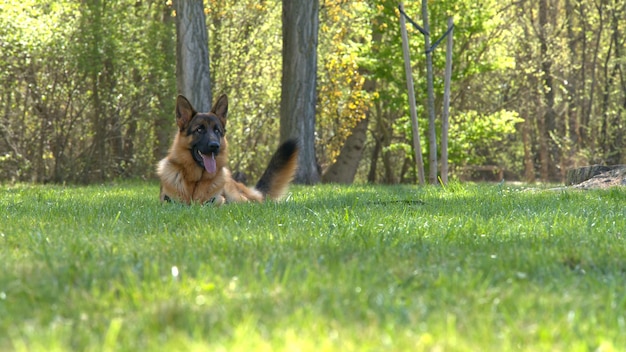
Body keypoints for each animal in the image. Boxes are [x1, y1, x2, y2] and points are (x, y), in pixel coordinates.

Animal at [156, 93, 298, 205]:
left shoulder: (216, 201)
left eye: (217, 131)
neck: (195, 182)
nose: (215, 146)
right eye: (199, 130)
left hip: (237, 197)